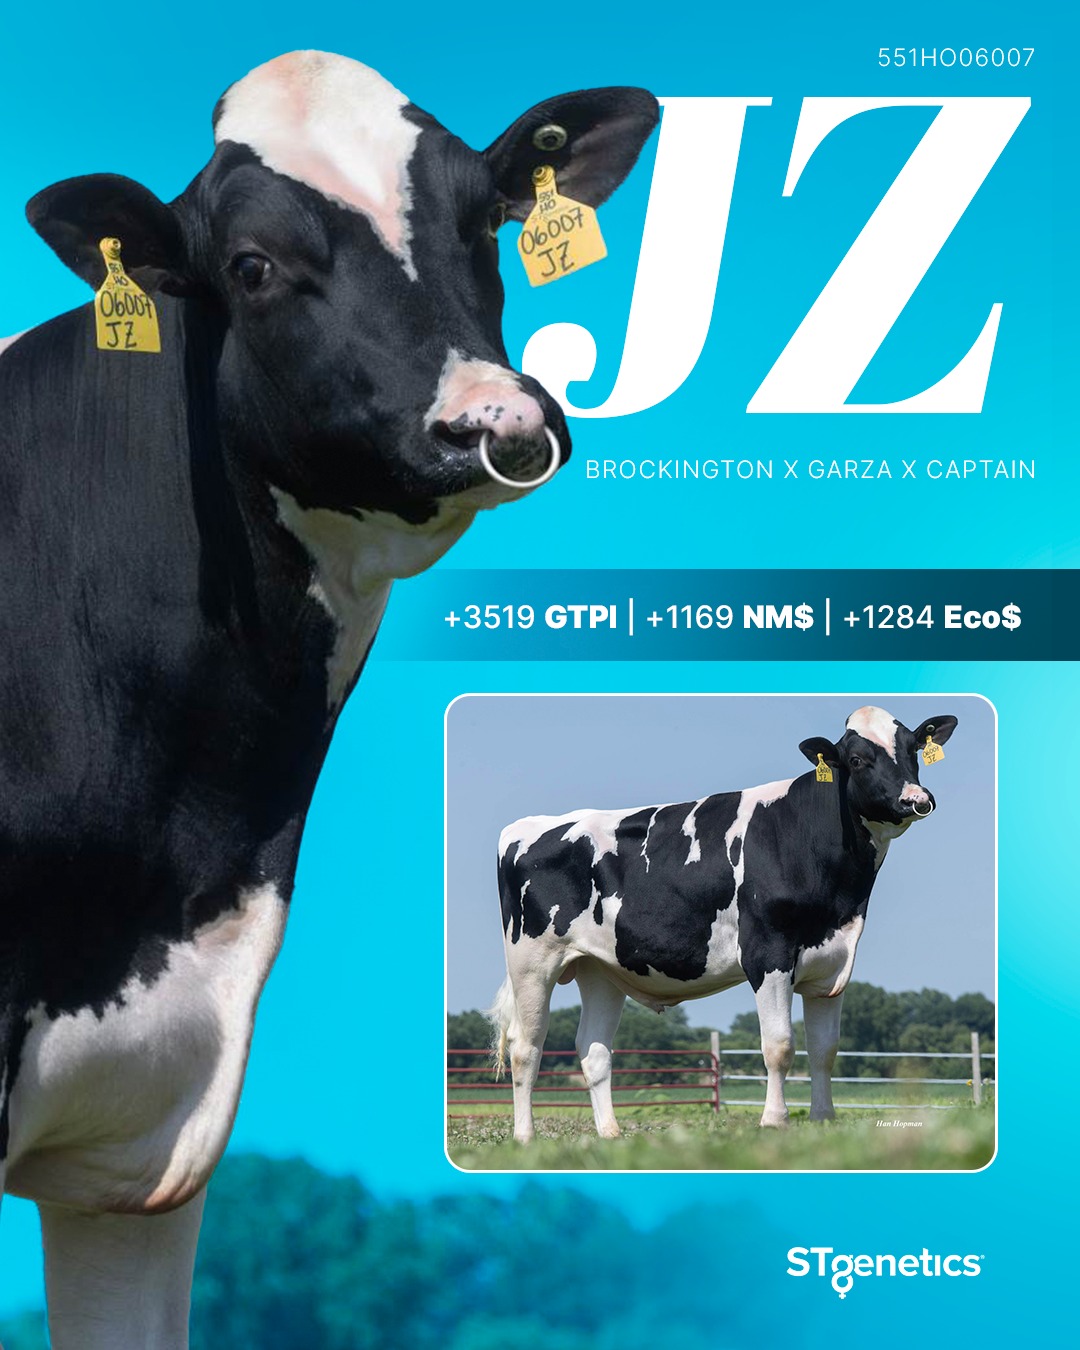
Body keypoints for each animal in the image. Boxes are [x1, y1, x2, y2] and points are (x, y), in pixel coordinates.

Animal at [490, 705, 957, 1142]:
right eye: (858, 759)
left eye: (912, 749)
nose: (916, 799)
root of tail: (526, 825)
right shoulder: (767, 952)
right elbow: (779, 1045)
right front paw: (774, 1121)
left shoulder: (833, 960)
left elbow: (824, 1049)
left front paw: (823, 1119)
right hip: (532, 960)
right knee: (525, 1047)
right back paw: (525, 1137)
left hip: (600, 968)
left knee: (594, 1050)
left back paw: (610, 1135)